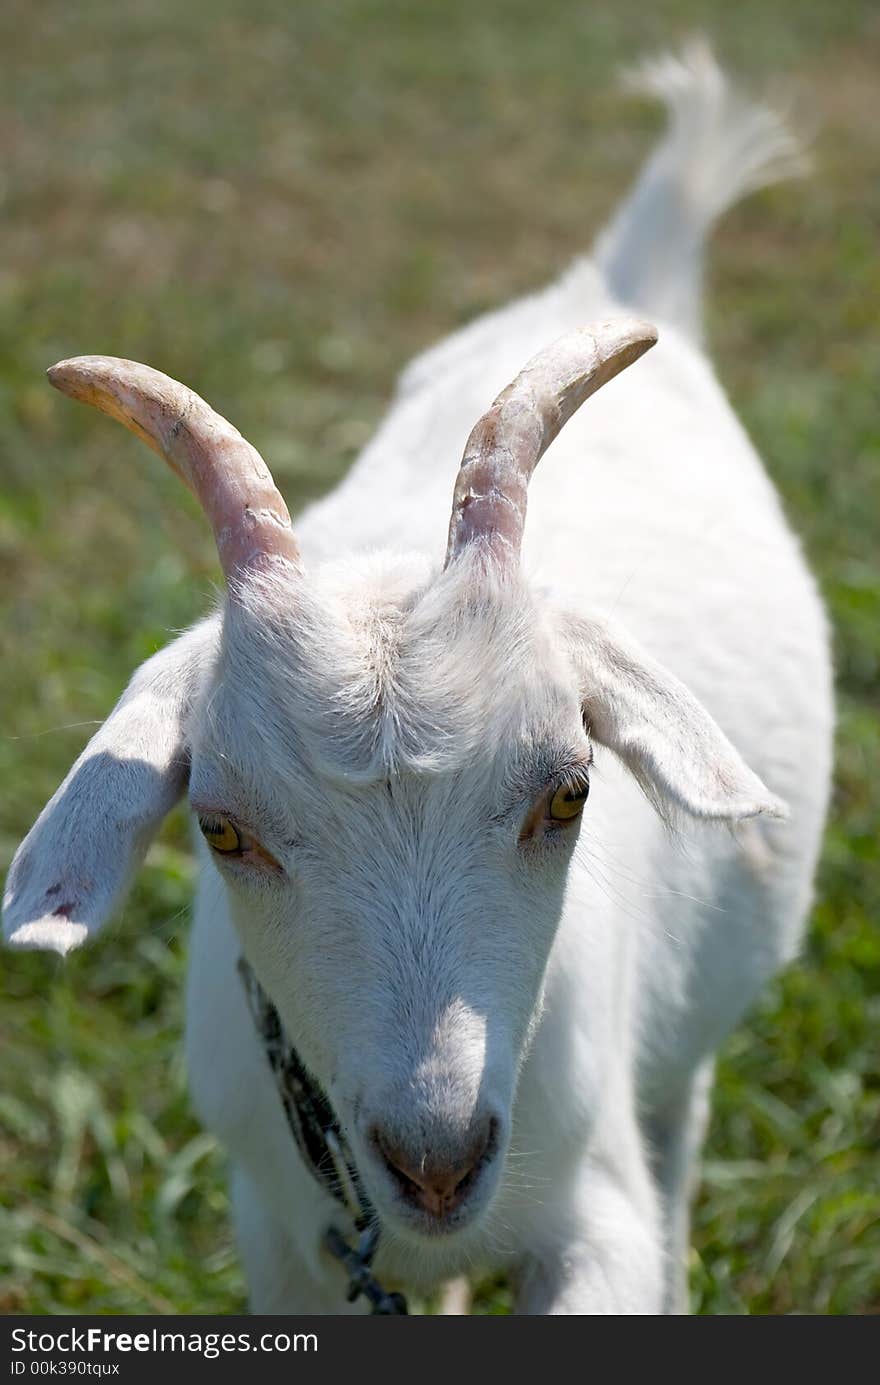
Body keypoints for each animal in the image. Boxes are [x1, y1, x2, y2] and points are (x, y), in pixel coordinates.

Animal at [5, 43, 831, 1312]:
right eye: (223, 828)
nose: (437, 1160)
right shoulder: (279, 1233)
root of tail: (619, 263)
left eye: (570, 791)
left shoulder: (596, 1218)